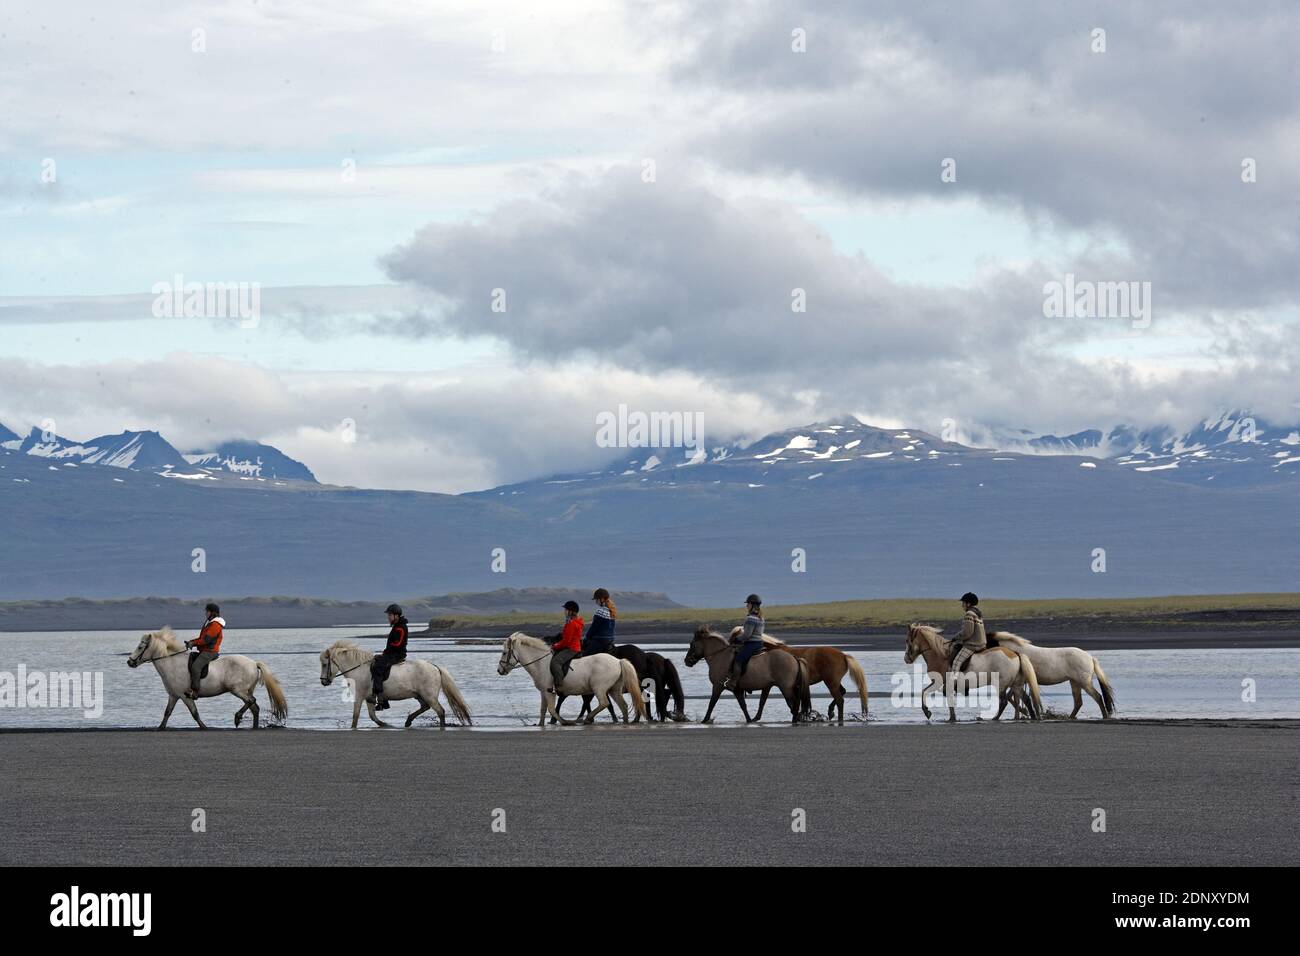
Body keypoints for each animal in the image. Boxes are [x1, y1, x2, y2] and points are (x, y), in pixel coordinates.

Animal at [127, 628, 288, 730]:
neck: (171, 664)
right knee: (254, 707)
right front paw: (160, 728)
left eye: (140, 647)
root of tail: (254, 663)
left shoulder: (184, 696)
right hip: (246, 690)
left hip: (238, 690)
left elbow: (194, 713)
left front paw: (204, 727)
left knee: (251, 702)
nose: (129, 662)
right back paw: (253, 726)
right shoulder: (173, 695)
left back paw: (237, 718)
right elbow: (167, 712)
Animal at [319, 639, 471, 729]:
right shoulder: (369, 697)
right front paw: (385, 724)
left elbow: (356, 716)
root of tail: (434, 667)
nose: (323, 681)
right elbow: (372, 716)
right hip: (419, 695)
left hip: (429, 695)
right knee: (425, 707)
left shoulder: (360, 696)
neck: (358, 669)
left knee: (440, 711)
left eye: (325, 664)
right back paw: (408, 721)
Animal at [498, 632, 646, 726]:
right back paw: (625, 722)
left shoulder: (549, 691)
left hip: (599, 688)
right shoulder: (543, 692)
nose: (500, 671)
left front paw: (565, 722)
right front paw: (540, 724)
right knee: (623, 705)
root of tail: (618, 661)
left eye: (504, 653)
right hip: (614, 689)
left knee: (604, 703)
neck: (541, 663)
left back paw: (588, 718)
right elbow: (543, 709)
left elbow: (552, 709)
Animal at [904, 624, 1043, 722]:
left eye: (907, 640)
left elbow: (924, 692)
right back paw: (1023, 717)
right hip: (1016, 684)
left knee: (1004, 701)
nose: (906, 659)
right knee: (1021, 699)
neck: (940, 655)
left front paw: (927, 712)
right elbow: (949, 702)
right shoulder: (945, 686)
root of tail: (1015, 654)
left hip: (1001, 684)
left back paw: (994, 718)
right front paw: (952, 718)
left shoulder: (938, 683)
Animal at [985, 632, 1116, 718]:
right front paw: (1027, 712)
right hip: (1075, 682)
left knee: (1097, 697)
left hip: (1084, 682)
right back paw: (1070, 717)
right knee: (1078, 702)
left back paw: (1105, 716)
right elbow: (1018, 697)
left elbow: (1012, 697)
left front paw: (1026, 712)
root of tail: (1090, 657)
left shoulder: (1021, 681)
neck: (1016, 653)